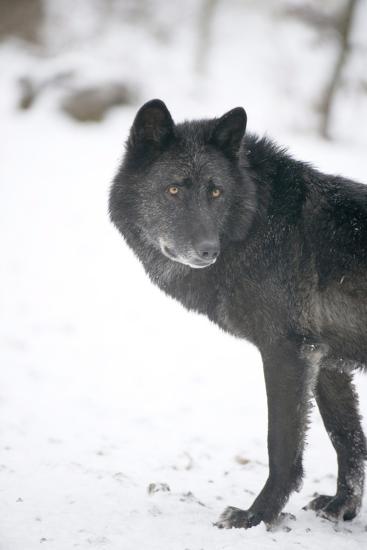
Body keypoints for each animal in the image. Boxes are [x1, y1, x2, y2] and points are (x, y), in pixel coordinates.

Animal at [109, 99, 367, 532]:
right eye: (173, 189)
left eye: (216, 191)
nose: (207, 250)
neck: (256, 223)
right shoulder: (326, 359)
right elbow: (346, 437)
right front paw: (342, 507)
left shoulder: (287, 352)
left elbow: (282, 445)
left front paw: (256, 516)